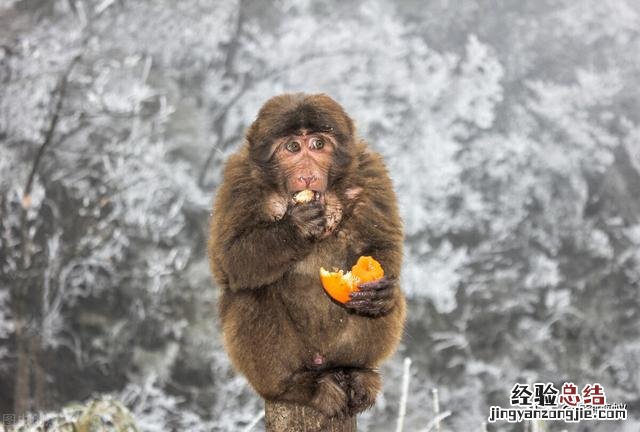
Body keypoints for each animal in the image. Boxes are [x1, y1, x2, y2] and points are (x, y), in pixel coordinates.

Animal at [210, 92, 404, 418]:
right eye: (292, 147)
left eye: (317, 144)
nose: (307, 175)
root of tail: (321, 362)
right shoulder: (238, 182)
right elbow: (230, 261)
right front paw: (297, 227)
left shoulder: (370, 171)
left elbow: (384, 245)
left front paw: (380, 292)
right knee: (252, 292)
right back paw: (297, 387)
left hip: (336, 350)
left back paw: (357, 372)